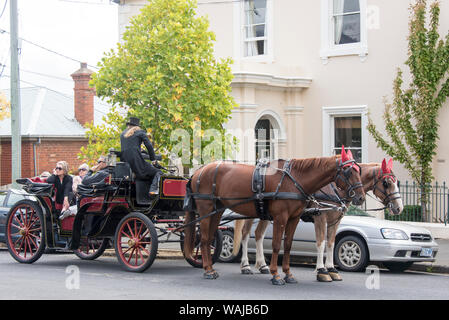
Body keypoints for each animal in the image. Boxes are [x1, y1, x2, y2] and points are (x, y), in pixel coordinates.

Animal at [182, 148, 364, 284]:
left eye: (359, 171)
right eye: (348, 171)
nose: (361, 197)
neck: (294, 180)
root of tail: (199, 171)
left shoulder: (294, 218)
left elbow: (288, 245)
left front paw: (288, 274)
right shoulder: (281, 217)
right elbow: (277, 244)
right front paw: (275, 274)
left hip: (217, 210)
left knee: (211, 237)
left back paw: (211, 267)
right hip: (205, 209)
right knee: (205, 238)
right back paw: (209, 270)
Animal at [231, 159, 402, 282]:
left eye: (397, 182)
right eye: (386, 183)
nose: (399, 208)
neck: (336, 189)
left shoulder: (335, 221)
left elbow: (331, 243)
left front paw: (331, 269)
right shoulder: (321, 218)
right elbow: (320, 243)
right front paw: (321, 271)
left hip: (266, 215)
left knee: (259, 235)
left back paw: (262, 265)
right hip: (253, 213)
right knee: (246, 235)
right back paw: (245, 265)